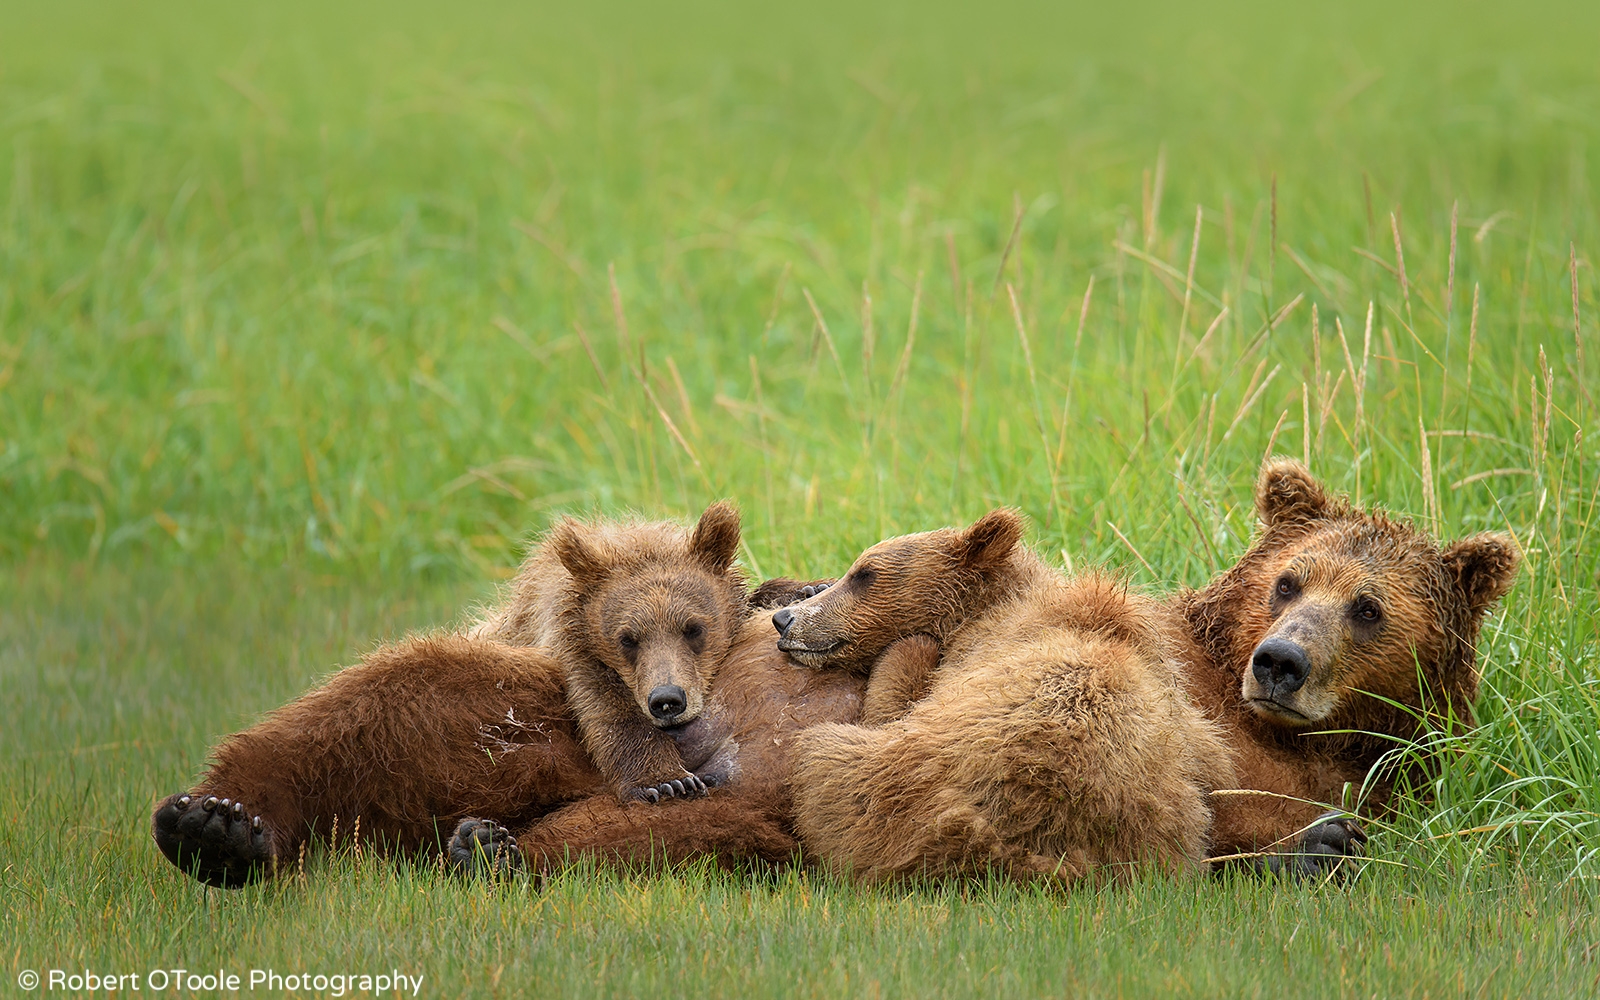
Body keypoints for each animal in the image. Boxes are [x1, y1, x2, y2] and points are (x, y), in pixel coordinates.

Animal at [768, 505, 1228, 883]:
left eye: (865, 574)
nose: (784, 618)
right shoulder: (1187, 712)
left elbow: (894, 699)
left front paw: (907, 648)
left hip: (895, 783)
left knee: (828, 758)